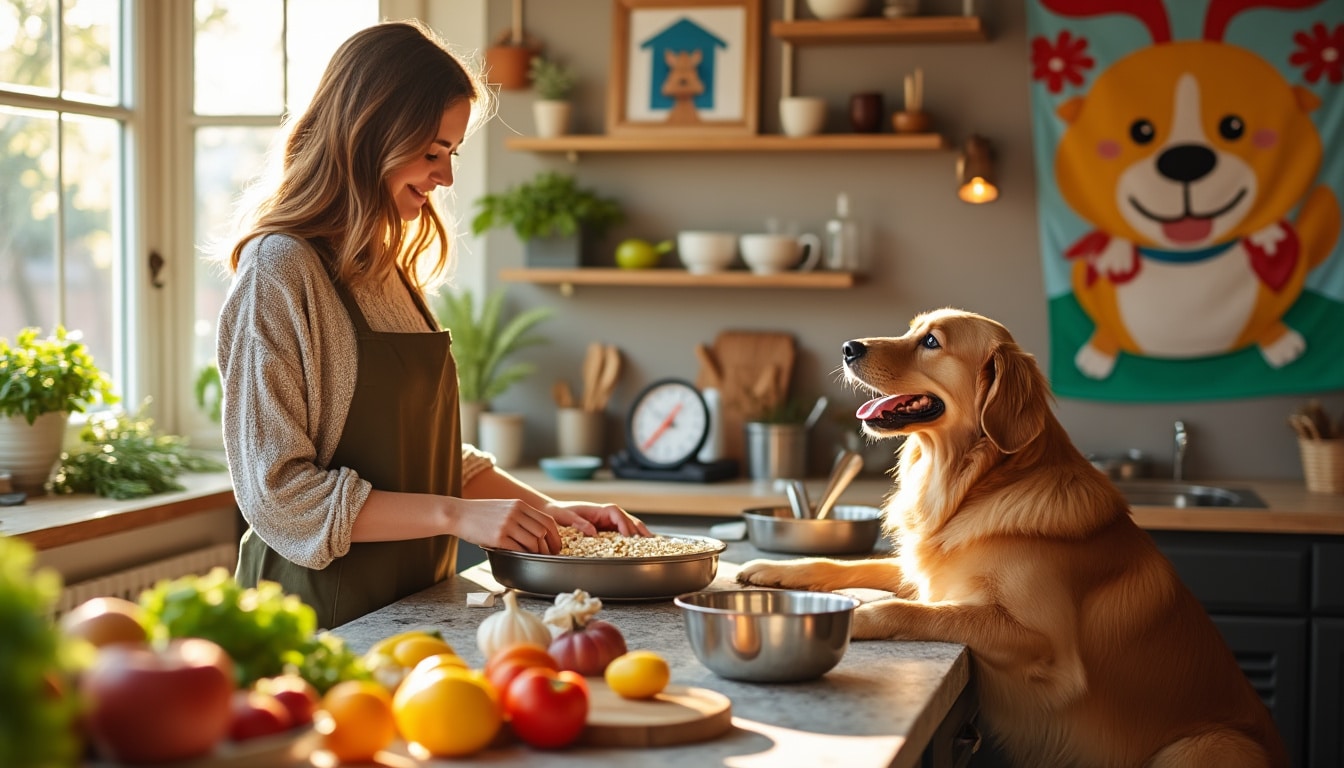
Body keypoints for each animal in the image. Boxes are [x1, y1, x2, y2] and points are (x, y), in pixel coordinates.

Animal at [741, 308, 1284, 768]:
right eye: (912, 329)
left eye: (932, 342)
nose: (847, 348)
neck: (977, 483)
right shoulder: (926, 573)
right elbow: (849, 565)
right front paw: (775, 570)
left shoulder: (1043, 642)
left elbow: (911, 611)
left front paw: (856, 616)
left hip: (1202, 746)